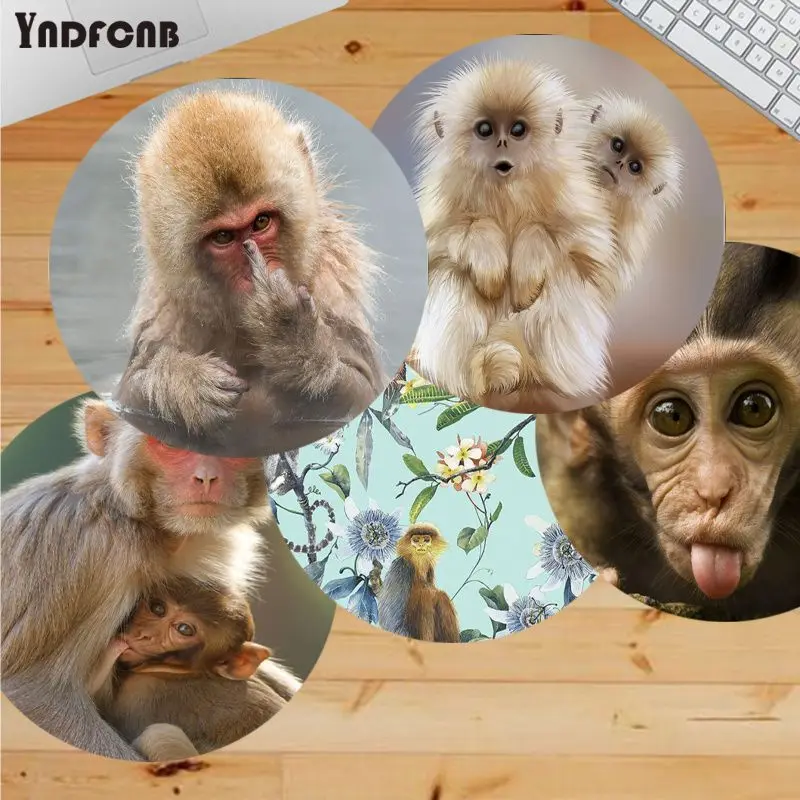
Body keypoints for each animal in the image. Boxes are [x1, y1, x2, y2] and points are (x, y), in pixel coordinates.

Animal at [112, 88, 387, 458]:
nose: (254, 268)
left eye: (261, 222)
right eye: (223, 237)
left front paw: (290, 336)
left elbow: (366, 390)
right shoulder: (165, 314)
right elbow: (127, 400)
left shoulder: (332, 292)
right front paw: (183, 382)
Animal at [409, 57, 620, 404]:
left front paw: (524, 270)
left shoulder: (572, 191)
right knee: (451, 273)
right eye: (485, 129)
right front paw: (489, 260)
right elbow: (437, 246)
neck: (506, 192)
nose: (502, 143)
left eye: (518, 129)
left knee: (561, 274)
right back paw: (479, 374)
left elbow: (588, 252)